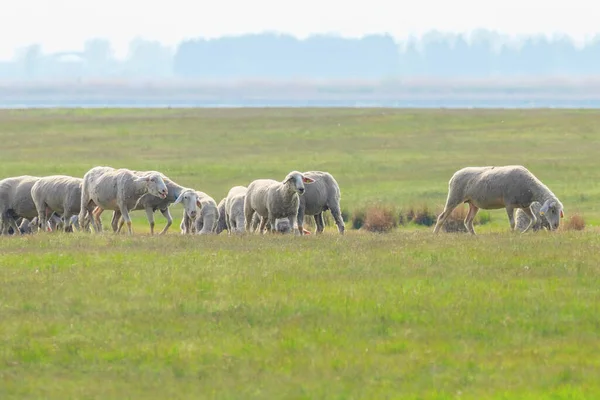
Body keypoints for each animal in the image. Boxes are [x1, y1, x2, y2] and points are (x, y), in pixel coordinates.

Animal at [432, 165, 564, 234]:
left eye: (559, 211)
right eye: (552, 210)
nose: (556, 225)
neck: (530, 188)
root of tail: (455, 175)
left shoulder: (525, 206)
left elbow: (534, 220)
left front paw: (522, 233)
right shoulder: (509, 204)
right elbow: (512, 223)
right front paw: (513, 234)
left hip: (473, 203)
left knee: (467, 221)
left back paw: (474, 236)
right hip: (454, 197)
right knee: (442, 217)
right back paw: (435, 235)